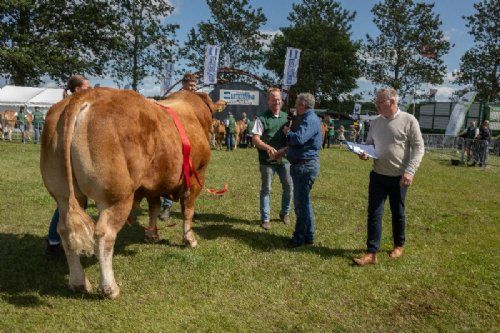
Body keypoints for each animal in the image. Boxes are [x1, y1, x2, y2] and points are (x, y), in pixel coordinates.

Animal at [40, 87, 225, 296]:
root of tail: (84, 96)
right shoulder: (196, 176)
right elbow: (188, 210)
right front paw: (189, 239)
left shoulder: (153, 184)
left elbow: (154, 207)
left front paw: (152, 235)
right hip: (117, 196)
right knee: (104, 234)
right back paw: (109, 288)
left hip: (64, 194)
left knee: (64, 230)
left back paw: (79, 282)